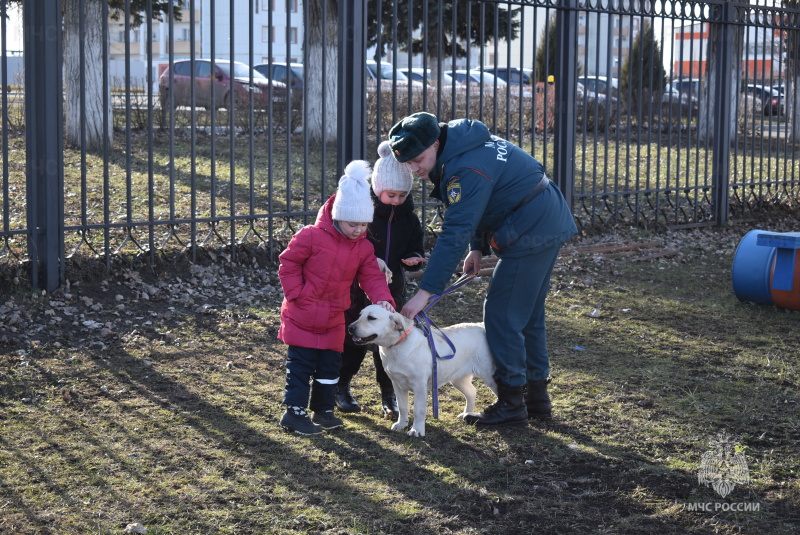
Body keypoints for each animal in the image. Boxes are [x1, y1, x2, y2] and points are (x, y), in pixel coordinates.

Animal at [348, 304, 496, 438]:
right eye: (360, 315)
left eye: (371, 318)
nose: (350, 328)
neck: (397, 346)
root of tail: (481, 326)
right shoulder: (397, 384)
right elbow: (402, 407)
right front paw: (401, 424)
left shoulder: (419, 386)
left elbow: (418, 411)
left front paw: (417, 430)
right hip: (458, 379)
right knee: (472, 392)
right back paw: (466, 414)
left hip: (490, 376)